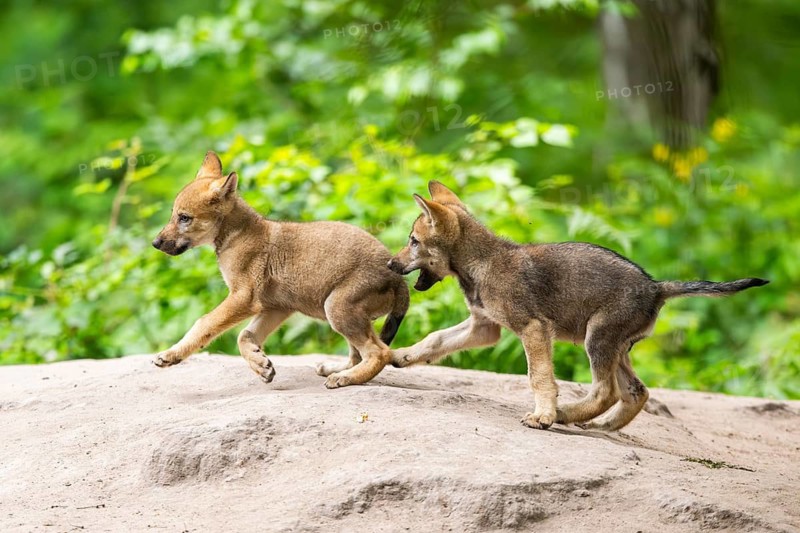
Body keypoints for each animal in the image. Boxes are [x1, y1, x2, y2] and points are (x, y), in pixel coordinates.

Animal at [152, 151, 409, 388]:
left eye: (184, 218)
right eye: (173, 215)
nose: (155, 243)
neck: (236, 235)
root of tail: (399, 279)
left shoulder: (244, 297)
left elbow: (204, 323)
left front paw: (170, 355)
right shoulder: (277, 306)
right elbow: (245, 336)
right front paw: (260, 365)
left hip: (337, 309)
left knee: (380, 353)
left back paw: (344, 378)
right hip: (346, 315)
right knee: (360, 354)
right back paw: (334, 369)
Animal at [388, 181, 768, 431]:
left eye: (413, 241)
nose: (390, 263)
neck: (481, 263)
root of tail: (656, 286)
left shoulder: (532, 328)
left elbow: (539, 376)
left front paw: (543, 414)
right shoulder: (484, 326)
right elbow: (435, 339)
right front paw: (401, 355)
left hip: (596, 340)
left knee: (606, 392)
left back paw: (561, 415)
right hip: (617, 348)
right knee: (636, 392)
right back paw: (600, 427)